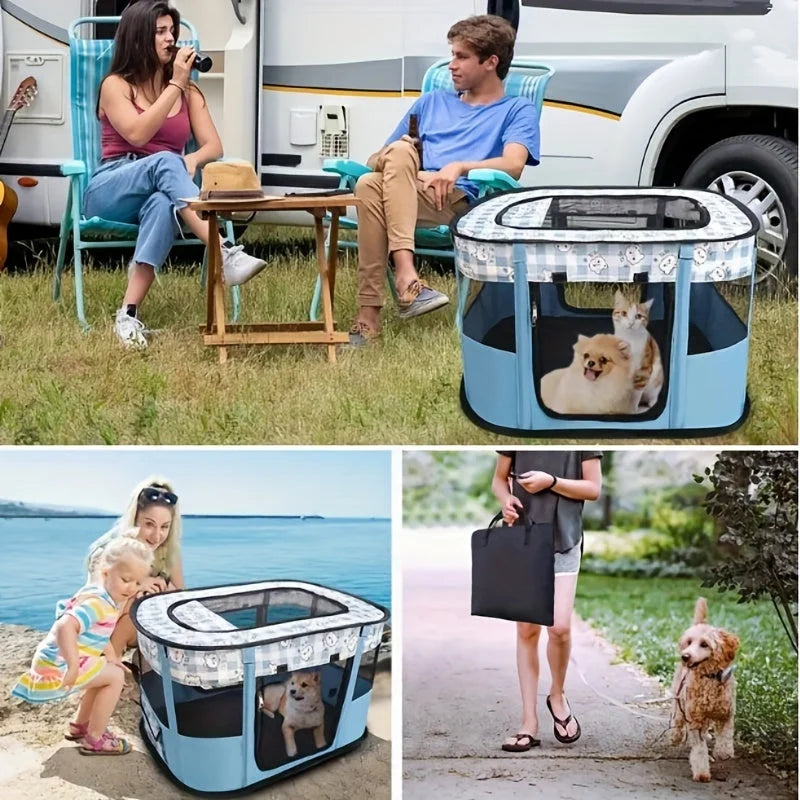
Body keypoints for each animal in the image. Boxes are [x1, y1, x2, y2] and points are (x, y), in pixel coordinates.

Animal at [664, 600, 740, 780]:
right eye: (689, 642)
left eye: (704, 644)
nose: (685, 656)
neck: (709, 678)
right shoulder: (695, 719)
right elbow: (699, 750)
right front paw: (702, 773)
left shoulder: (727, 714)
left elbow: (726, 736)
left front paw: (723, 752)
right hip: (679, 699)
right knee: (677, 720)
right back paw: (675, 737)